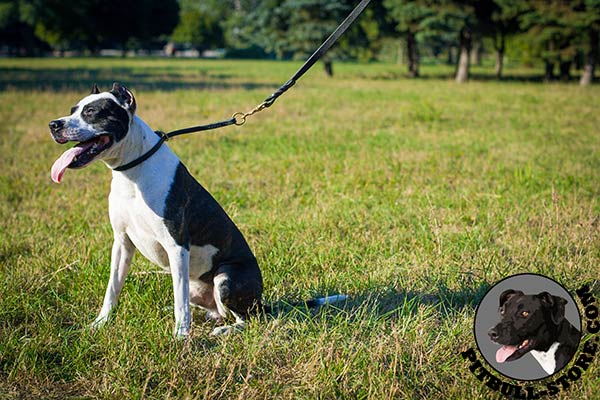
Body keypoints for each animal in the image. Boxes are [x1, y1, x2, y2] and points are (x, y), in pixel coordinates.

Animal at [48, 83, 342, 338]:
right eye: (73, 109)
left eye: (91, 112)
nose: (54, 124)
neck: (133, 169)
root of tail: (260, 302)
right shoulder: (122, 243)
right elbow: (112, 290)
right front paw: (99, 324)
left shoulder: (177, 245)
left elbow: (180, 305)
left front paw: (180, 337)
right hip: (191, 282)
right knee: (202, 304)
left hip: (226, 277)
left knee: (247, 319)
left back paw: (225, 330)